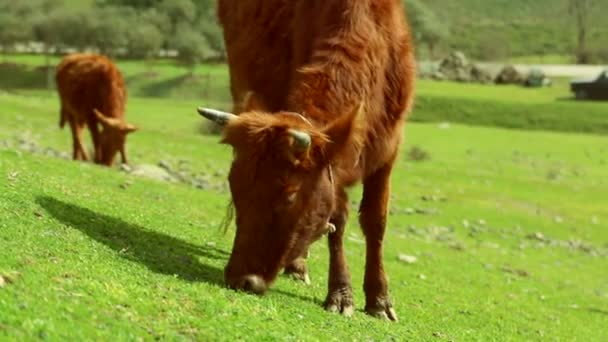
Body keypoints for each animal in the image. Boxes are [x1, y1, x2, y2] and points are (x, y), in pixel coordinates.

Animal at [197, 0, 416, 320]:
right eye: (234, 186)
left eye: (289, 195)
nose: (240, 278)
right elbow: (337, 219)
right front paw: (341, 292)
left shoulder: (388, 150)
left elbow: (376, 221)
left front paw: (379, 298)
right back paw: (297, 264)